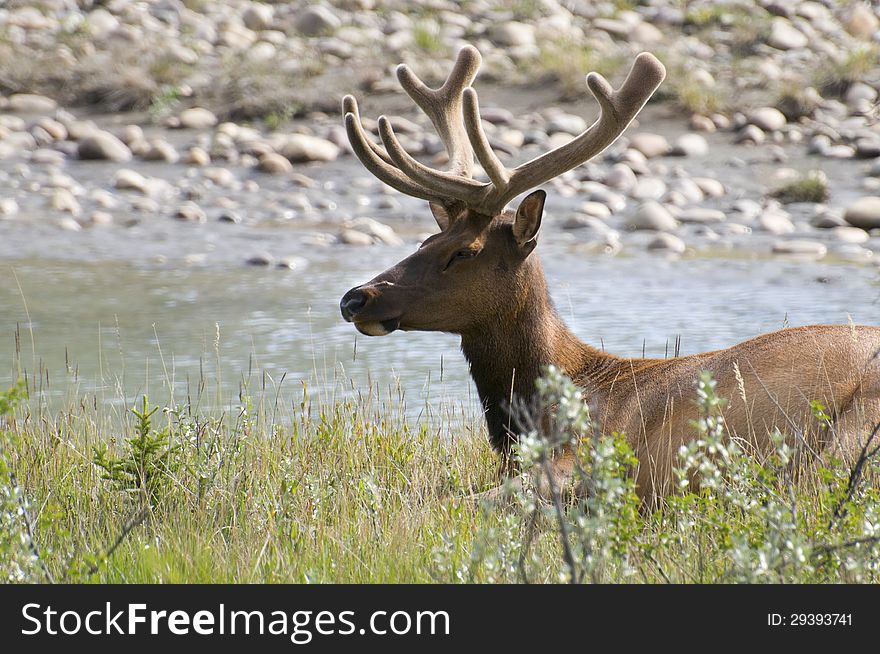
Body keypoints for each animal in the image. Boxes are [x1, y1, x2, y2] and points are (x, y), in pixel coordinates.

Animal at [336, 44, 880, 502]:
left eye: (464, 252)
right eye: (425, 241)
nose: (355, 297)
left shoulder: (587, 459)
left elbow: (457, 501)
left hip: (842, 440)